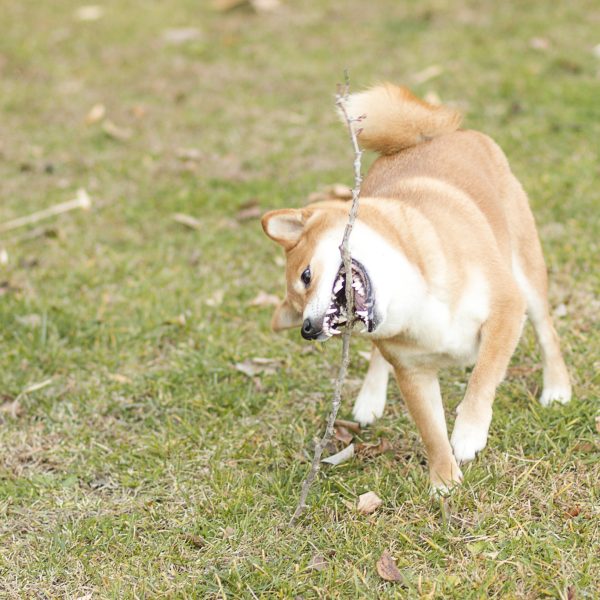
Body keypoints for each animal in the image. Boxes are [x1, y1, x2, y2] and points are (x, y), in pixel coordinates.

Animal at [260, 82, 568, 490]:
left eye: (306, 276)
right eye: (297, 312)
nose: (308, 330)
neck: (414, 293)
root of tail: (433, 137)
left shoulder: (505, 308)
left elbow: (484, 376)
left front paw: (468, 431)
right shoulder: (412, 372)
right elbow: (431, 430)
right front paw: (443, 480)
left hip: (527, 272)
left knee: (546, 332)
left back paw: (557, 386)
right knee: (377, 357)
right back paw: (370, 398)